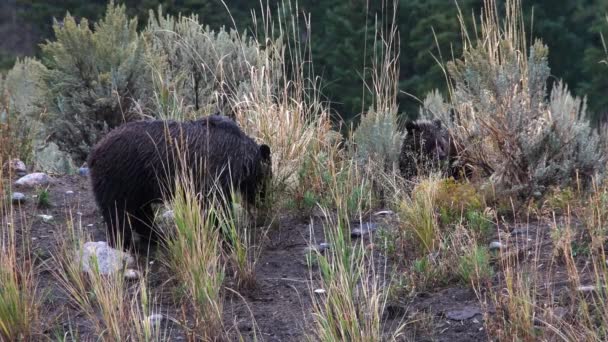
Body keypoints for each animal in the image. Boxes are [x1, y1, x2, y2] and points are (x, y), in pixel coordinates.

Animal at [87, 113, 270, 250]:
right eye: (264, 179)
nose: (262, 199)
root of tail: (94, 153)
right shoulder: (212, 173)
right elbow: (215, 205)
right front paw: (225, 231)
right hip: (120, 178)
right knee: (118, 213)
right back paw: (124, 242)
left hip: (138, 186)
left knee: (140, 213)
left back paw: (156, 236)